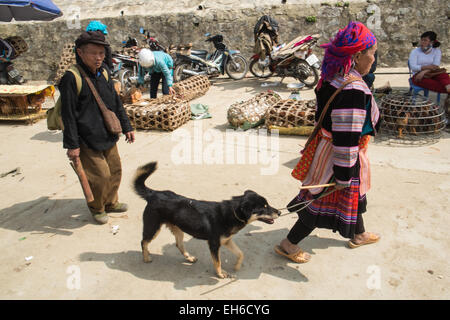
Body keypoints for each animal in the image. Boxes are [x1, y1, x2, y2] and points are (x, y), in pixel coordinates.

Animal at [134, 161, 280, 278]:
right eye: (264, 207)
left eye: (267, 204)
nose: (279, 212)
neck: (231, 213)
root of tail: (154, 194)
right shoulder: (214, 244)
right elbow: (218, 262)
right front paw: (220, 274)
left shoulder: (226, 241)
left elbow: (240, 253)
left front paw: (237, 266)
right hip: (153, 228)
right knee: (143, 241)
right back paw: (146, 257)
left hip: (178, 229)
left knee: (178, 245)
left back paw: (189, 258)